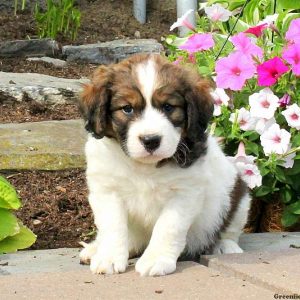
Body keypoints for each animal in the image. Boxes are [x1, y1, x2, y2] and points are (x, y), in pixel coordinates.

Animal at [78, 53, 250, 276]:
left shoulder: (184, 193)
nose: (151, 140)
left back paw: (225, 246)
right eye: (127, 109)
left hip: (239, 196)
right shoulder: (107, 190)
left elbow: (168, 227)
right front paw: (108, 257)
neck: (144, 167)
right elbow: (113, 226)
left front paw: (156, 260)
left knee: (229, 229)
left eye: (168, 107)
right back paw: (95, 248)